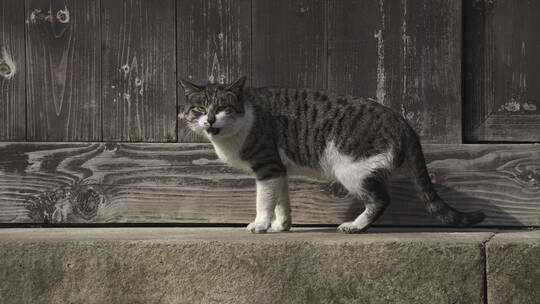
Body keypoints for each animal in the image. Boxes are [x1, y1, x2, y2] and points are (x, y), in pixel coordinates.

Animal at [177, 75, 486, 233]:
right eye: (200, 109)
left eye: (222, 108)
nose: (209, 121)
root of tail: (403, 122)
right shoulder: (279, 169)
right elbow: (281, 200)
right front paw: (281, 226)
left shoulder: (266, 165)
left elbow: (264, 200)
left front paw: (261, 225)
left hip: (352, 168)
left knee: (381, 199)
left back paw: (355, 226)